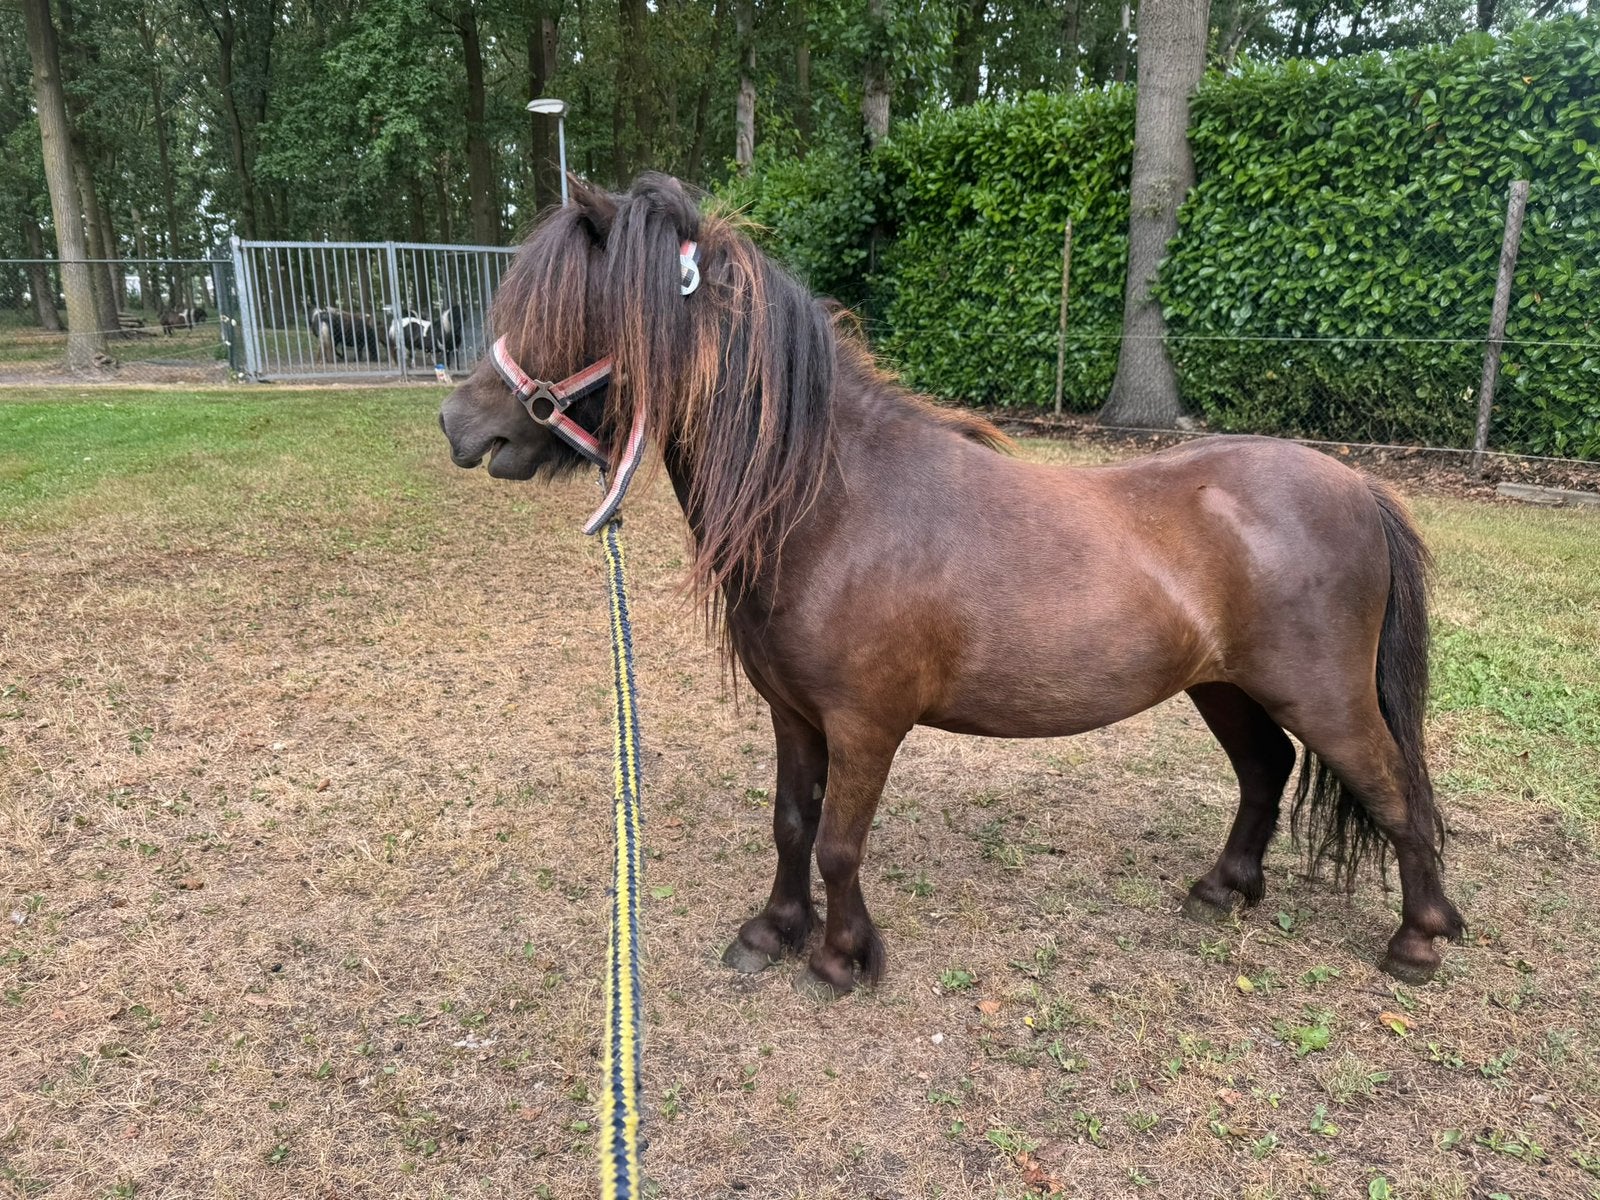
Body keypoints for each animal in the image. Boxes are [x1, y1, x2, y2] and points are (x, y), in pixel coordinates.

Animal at [438, 174, 1466, 997]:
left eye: (570, 308)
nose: (458, 424)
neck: (832, 503)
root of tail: (1359, 486)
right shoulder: (794, 714)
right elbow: (791, 824)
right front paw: (772, 932)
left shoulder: (865, 722)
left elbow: (840, 840)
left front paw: (842, 959)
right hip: (1223, 686)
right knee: (1266, 771)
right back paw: (1223, 889)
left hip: (1322, 695)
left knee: (1396, 790)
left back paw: (1417, 941)